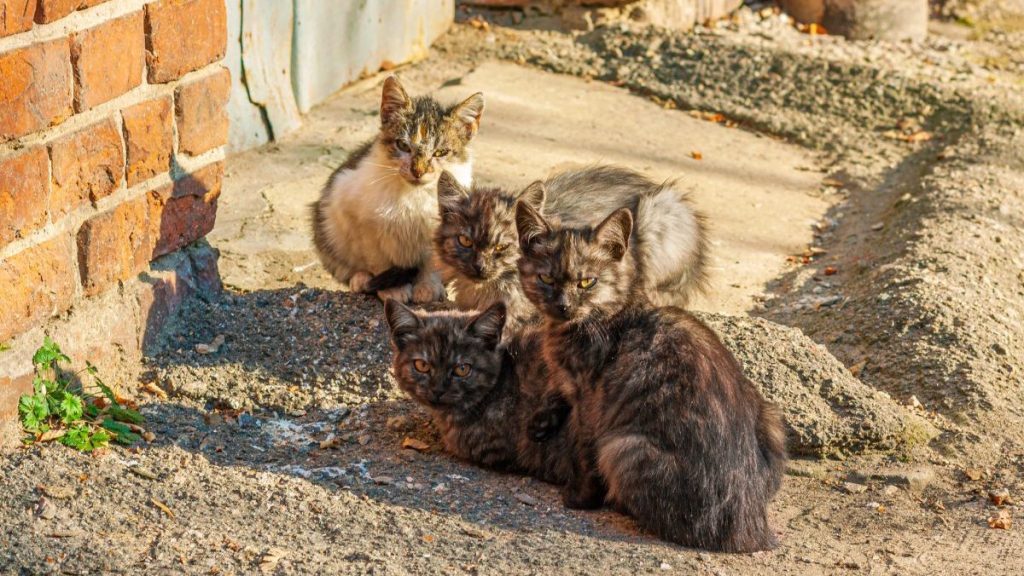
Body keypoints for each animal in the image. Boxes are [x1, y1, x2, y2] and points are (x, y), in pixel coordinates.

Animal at [311, 75, 483, 305]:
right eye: (403, 146)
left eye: (440, 152)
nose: (418, 171)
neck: (413, 194)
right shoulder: (357, 215)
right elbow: (378, 258)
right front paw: (392, 289)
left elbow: (432, 260)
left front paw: (428, 286)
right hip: (327, 224)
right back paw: (360, 279)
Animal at [516, 202, 786, 553]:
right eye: (546, 277)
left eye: (587, 282)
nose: (563, 306)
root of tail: (749, 528)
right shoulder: (571, 384)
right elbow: (556, 387)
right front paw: (541, 420)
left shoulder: (592, 401)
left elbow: (583, 451)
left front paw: (580, 498)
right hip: (770, 414)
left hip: (621, 447)